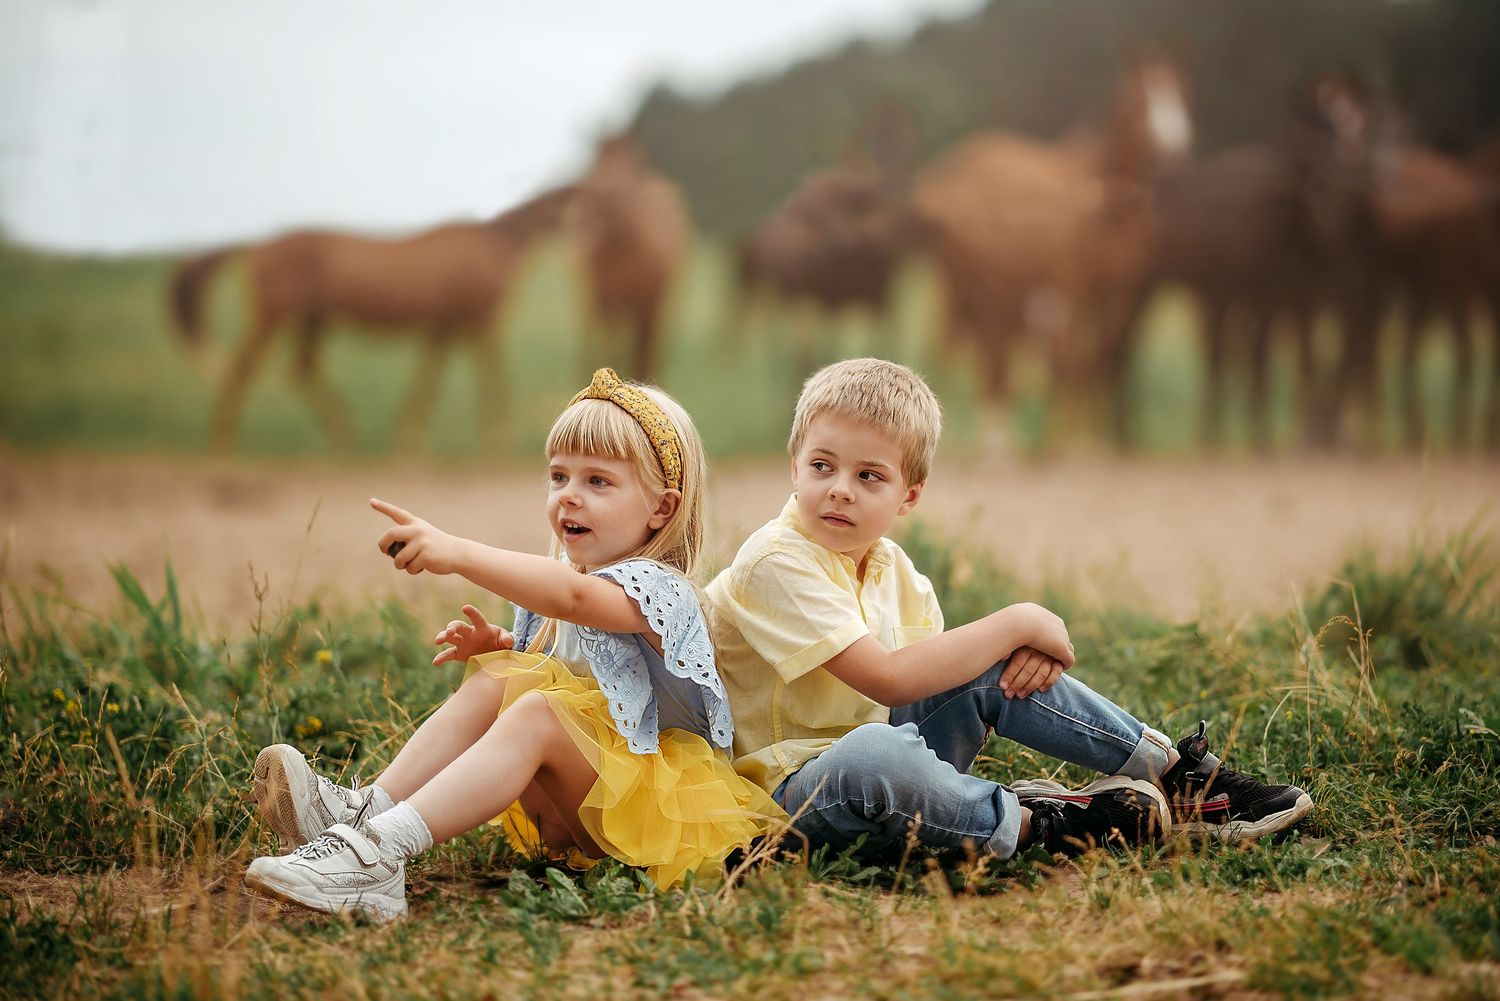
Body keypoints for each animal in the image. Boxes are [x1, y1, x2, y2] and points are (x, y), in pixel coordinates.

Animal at [169, 185, 575, 453]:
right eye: (582, 201)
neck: (492, 246)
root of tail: (257, 244)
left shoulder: (444, 325)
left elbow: (430, 378)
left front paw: (409, 438)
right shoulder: (478, 321)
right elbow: (491, 376)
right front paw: (498, 438)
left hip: (313, 320)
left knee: (300, 370)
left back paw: (344, 434)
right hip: (276, 316)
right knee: (244, 369)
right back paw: (224, 444)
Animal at [568, 136, 691, 384]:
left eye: (626, 171)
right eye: (594, 163)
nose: (594, 195)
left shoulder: (643, 302)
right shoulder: (601, 300)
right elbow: (606, 348)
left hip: (653, 306)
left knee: (648, 346)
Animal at [911, 51, 1192, 446]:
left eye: (1180, 92)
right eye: (1140, 98)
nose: (1173, 149)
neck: (1108, 209)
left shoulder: (1117, 292)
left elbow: (1096, 362)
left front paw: (1093, 438)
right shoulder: (1068, 289)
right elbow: (1068, 366)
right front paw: (1061, 442)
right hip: (980, 292)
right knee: (986, 359)